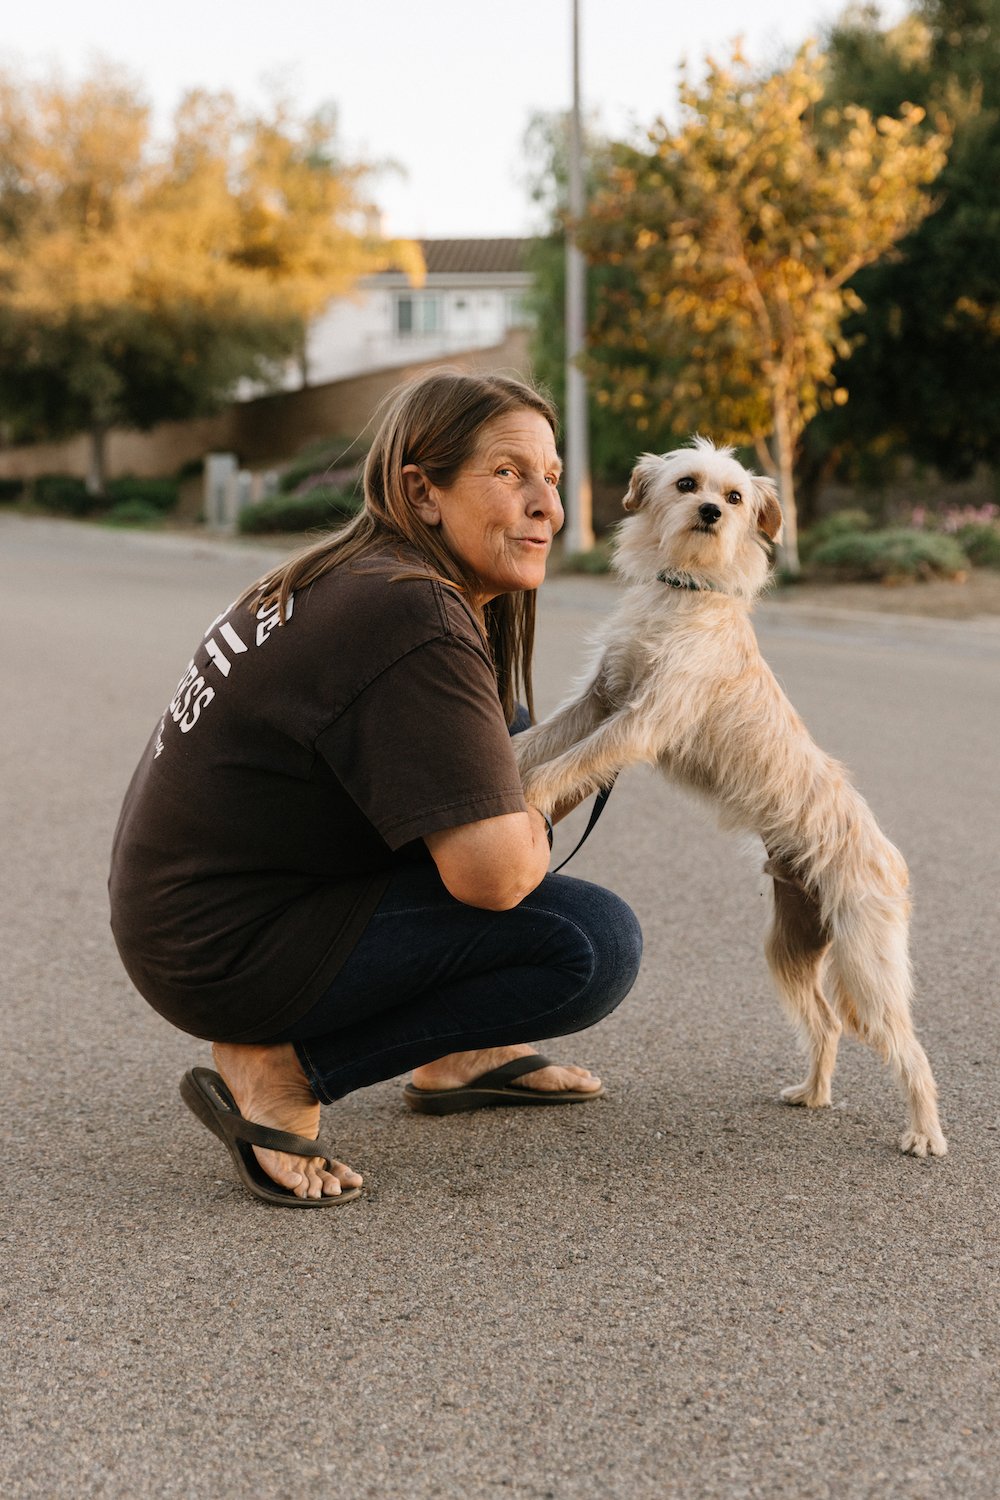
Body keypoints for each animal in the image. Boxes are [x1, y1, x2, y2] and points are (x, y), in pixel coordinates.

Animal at [521, 438, 953, 1158]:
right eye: (687, 484)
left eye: (734, 497)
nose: (710, 514)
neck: (686, 592)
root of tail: (890, 860)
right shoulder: (601, 699)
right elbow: (540, 742)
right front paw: (505, 771)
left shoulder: (640, 721)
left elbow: (570, 762)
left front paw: (526, 795)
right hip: (790, 947)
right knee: (827, 1023)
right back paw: (813, 1093)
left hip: (867, 967)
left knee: (910, 1049)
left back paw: (923, 1132)